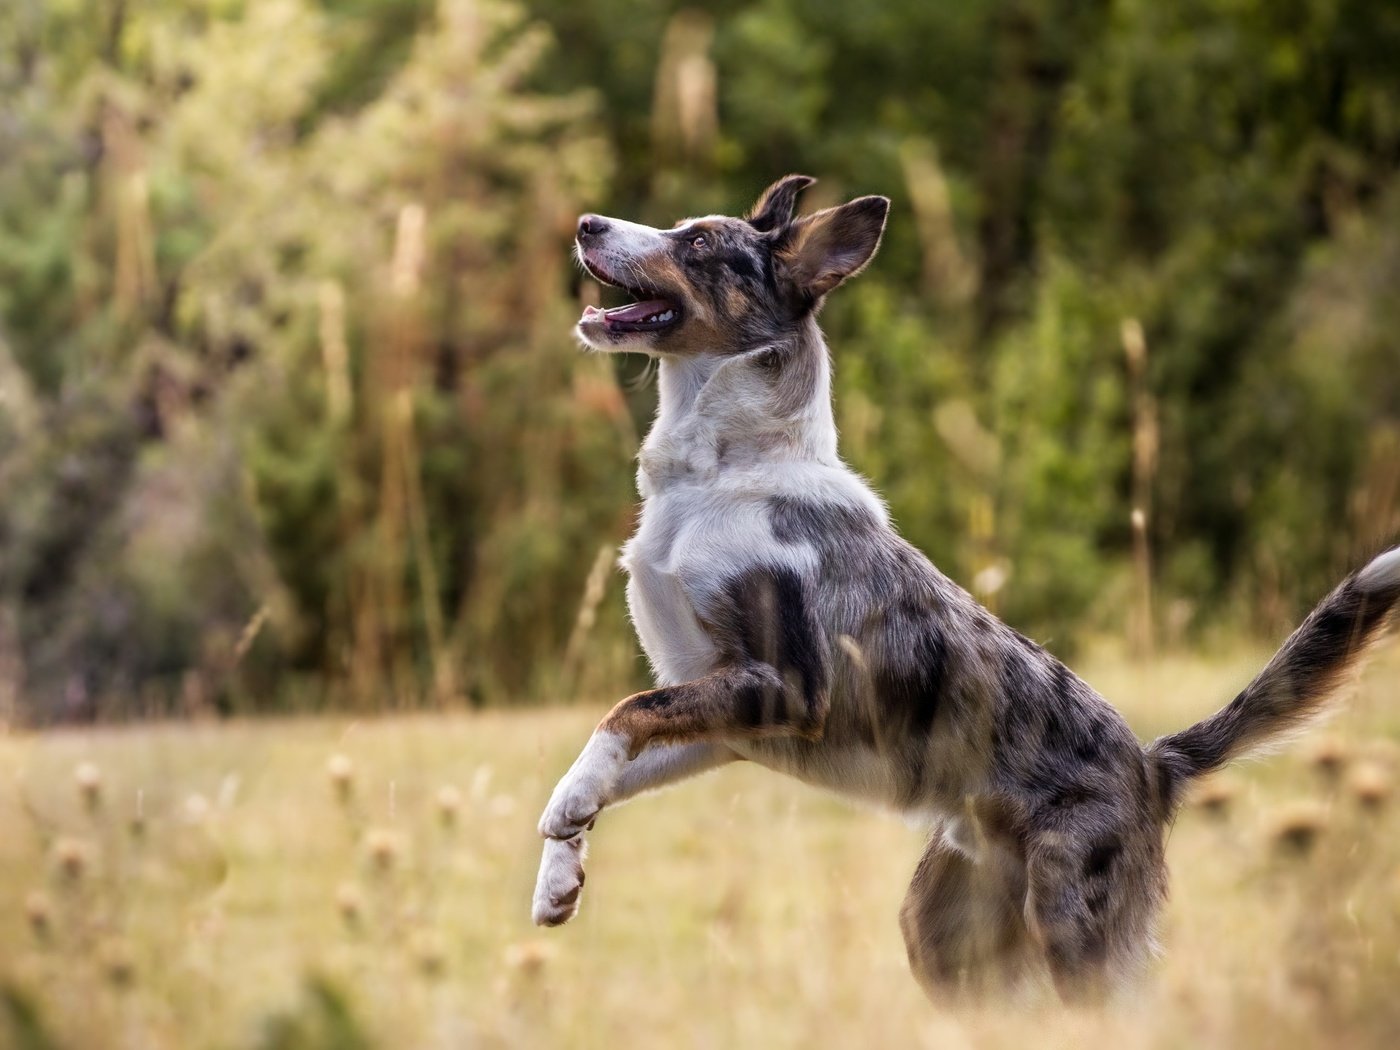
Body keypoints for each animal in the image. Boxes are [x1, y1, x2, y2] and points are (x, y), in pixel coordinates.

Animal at [532, 177, 1400, 1008]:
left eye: (701, 243)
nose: (585, 223)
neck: (724, 475)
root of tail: (1153, 767)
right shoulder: (722, 714)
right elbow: (620, 749)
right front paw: (560, 866)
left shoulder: (787, 687)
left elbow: (623, 713)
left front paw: (563, 813)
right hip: (946, 937)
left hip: (1077, 928)